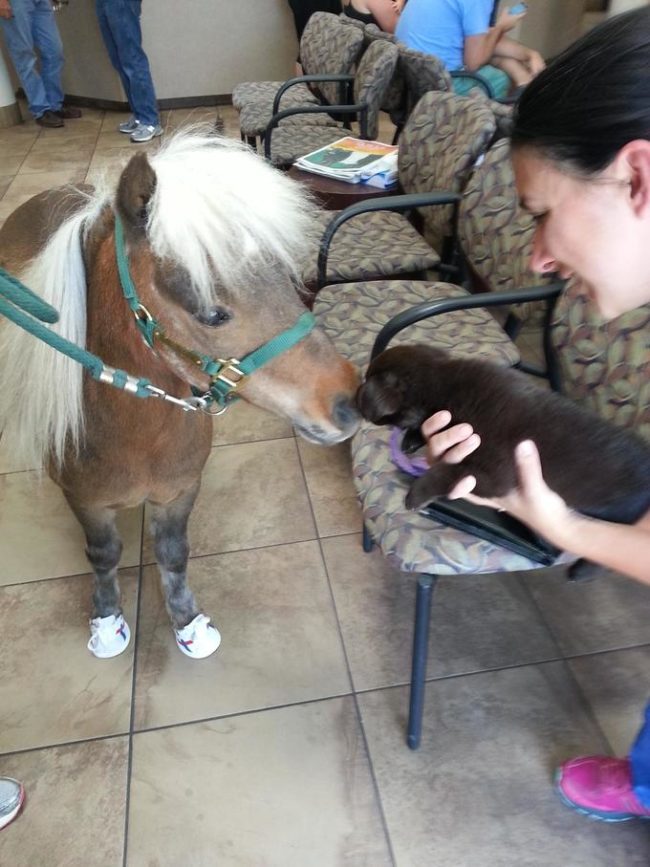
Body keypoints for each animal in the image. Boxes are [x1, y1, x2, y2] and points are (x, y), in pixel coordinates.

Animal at [0, 131, 360, 656]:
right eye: (211, 313)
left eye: (285, 279)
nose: (350, 401)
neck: (135, 434)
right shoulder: (86, 502)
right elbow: (103, 554)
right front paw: (107, 620)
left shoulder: (180, 490)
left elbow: (173, 553)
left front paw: (187, 621)